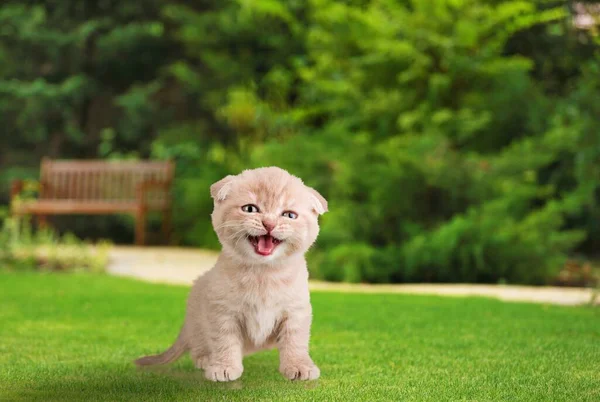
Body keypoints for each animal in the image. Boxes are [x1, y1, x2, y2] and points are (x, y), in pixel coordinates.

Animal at [135, 167, 326, 384]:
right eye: (250, 209)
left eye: (289, 215)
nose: (269, 223)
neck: (263, 273)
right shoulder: (222, 311)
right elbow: (224, 340)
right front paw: (224, 367)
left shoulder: (296, 310)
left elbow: (296, 340)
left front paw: (299, 366)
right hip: (197, 315)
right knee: (198, 344)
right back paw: (205, 359)